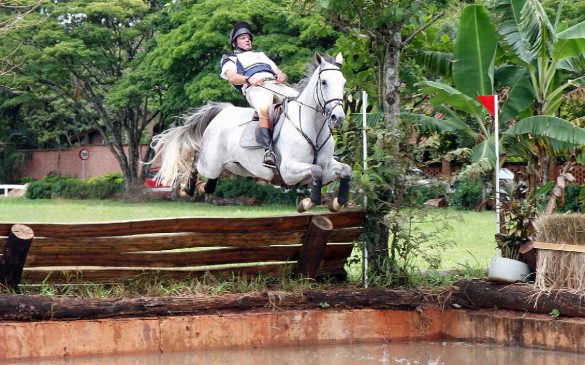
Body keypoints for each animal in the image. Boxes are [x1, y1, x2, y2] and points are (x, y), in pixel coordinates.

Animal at [152, 54, 352, 213]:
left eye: (343, 82)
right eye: (324, 82)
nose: (338, 117)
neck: (313, 126)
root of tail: (224, 111)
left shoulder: (327, 165)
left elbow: (345, 171)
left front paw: (338, 202)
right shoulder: (288, 170)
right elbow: (316, 171)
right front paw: (307, 203)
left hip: (236, 166)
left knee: (210, 183)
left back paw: (200, 189)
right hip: (210, 163)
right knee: (195, 164)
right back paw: (185, 189)